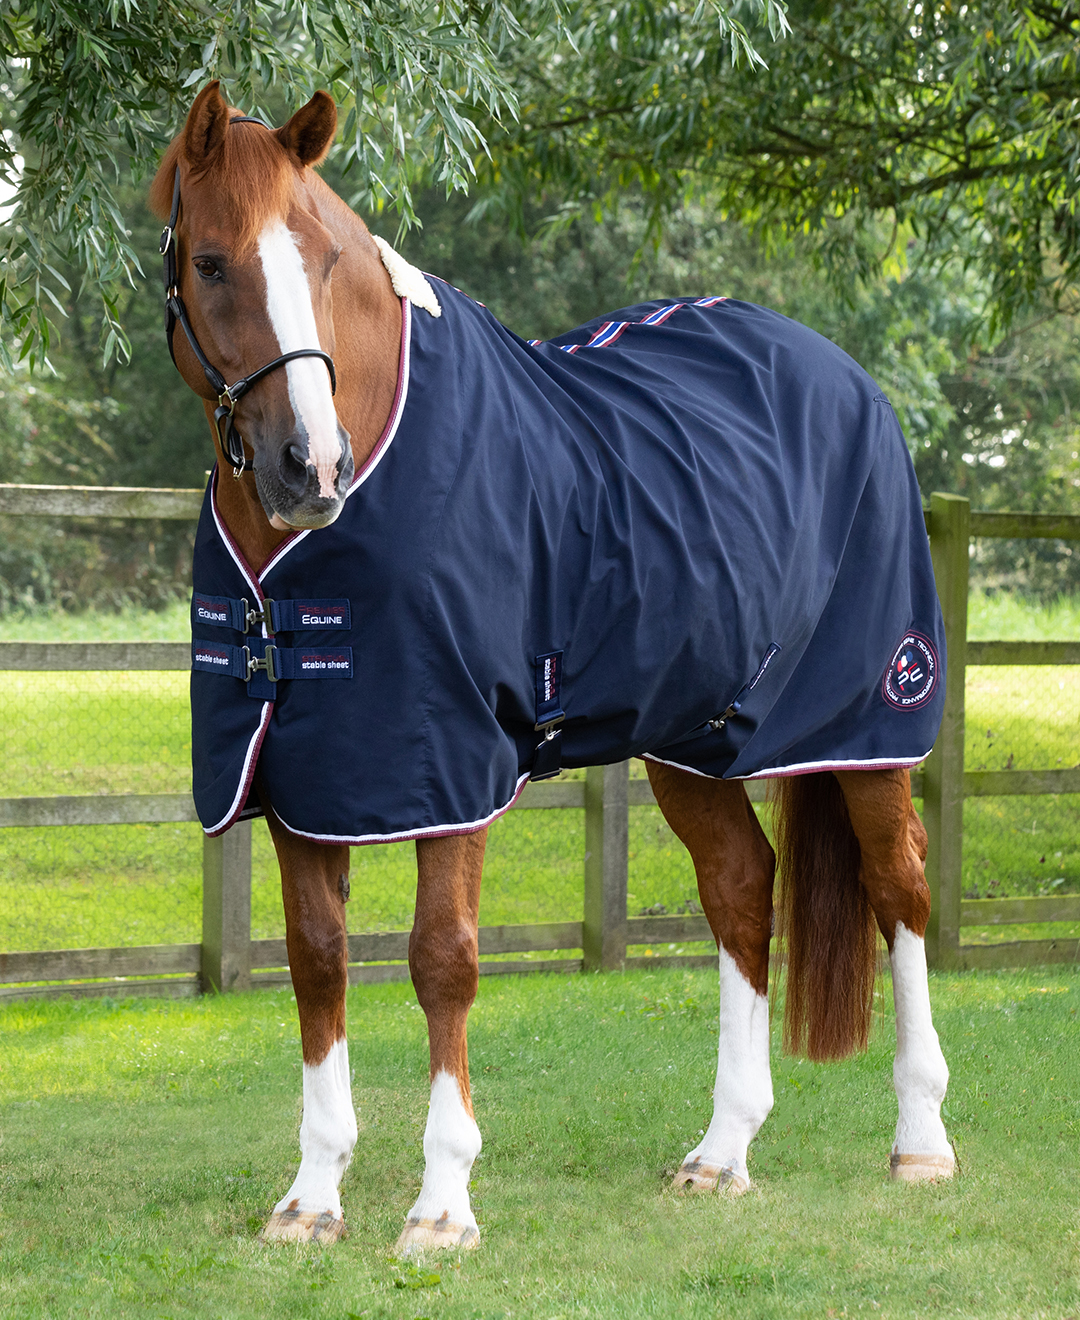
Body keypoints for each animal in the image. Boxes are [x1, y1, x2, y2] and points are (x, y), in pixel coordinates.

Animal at [150, 81, 955, 1251]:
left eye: (328, 261)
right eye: (211, 263)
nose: (313, 468)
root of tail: (844, 376)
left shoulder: (448, 764)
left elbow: (442, 959)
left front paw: (443, 1206)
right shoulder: (306, 771)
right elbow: (316, 959)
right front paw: (312, 1195)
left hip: (869, 722)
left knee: (900, 890)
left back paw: (921, 1140)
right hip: (691, 738)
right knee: (740, 888)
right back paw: (723, 1151)